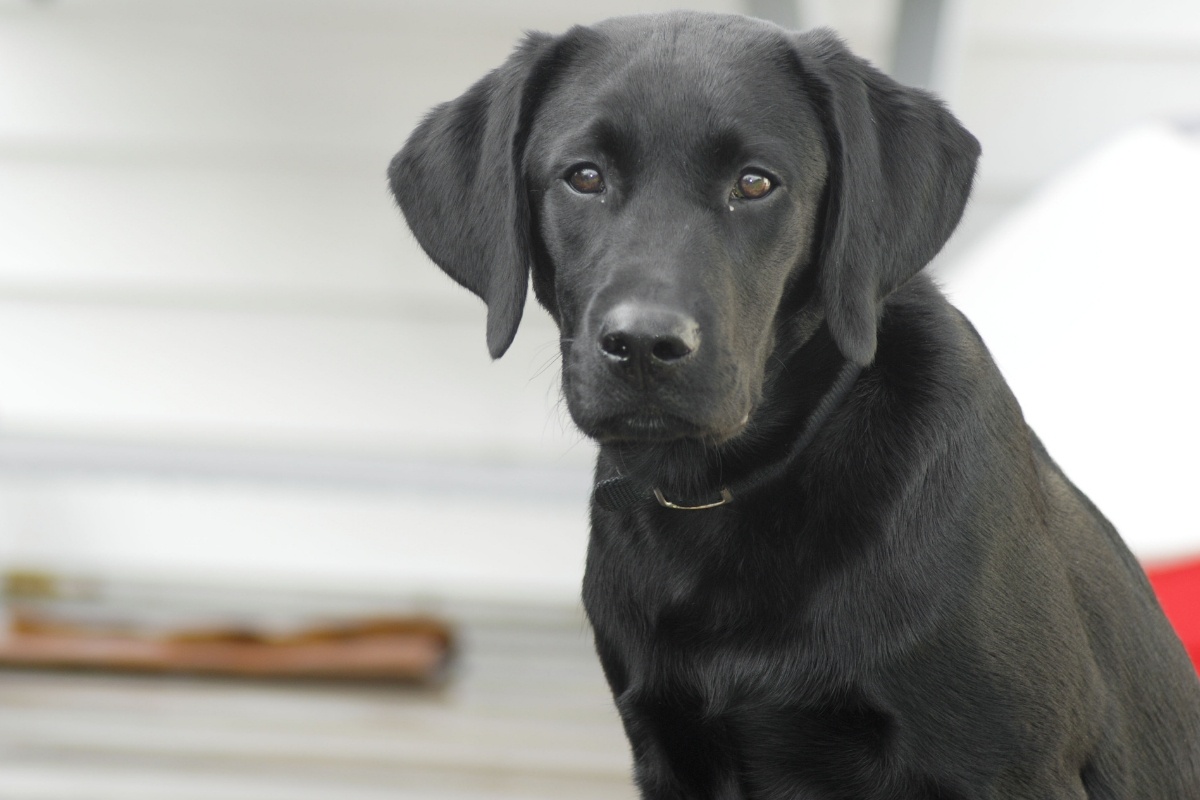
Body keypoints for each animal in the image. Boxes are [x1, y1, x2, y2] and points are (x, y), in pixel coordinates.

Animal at [391, 9, 1200, 796]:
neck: (729, 493)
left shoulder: (1010, 767)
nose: (645, 345)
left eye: (755, 184)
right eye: (582, 177)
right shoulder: (671, 750)